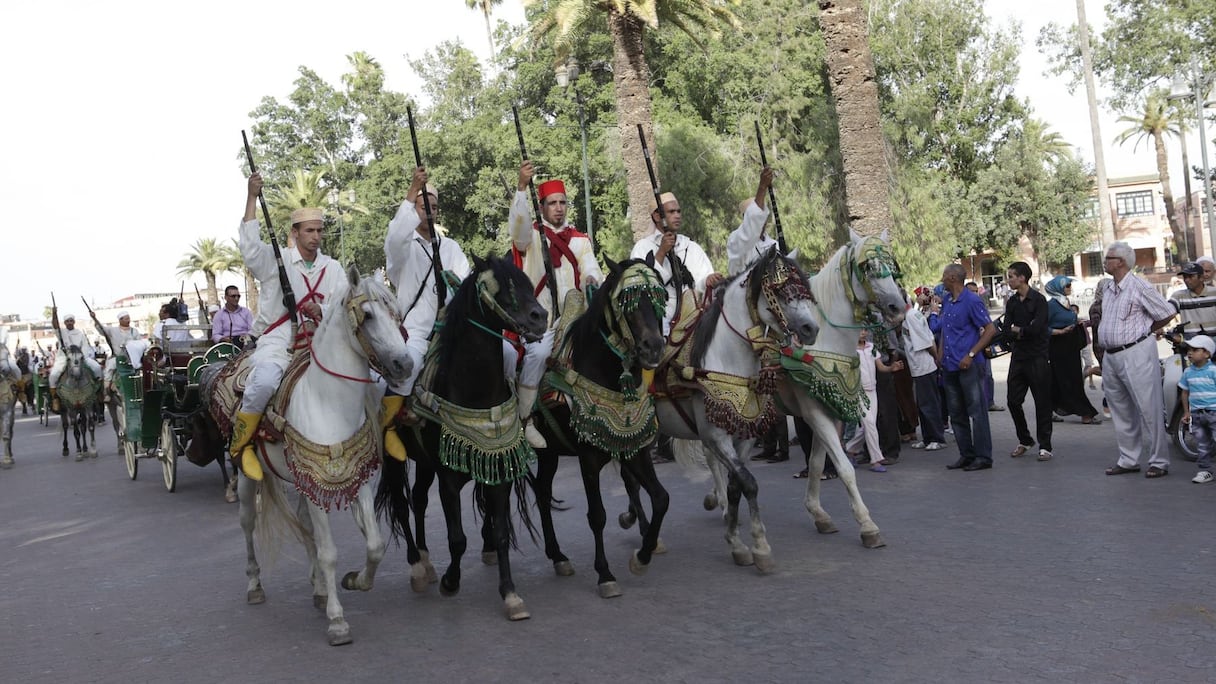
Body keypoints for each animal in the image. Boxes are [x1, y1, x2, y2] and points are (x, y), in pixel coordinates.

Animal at [209, 267, 413, 642]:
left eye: (396, 313)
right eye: (368, 316)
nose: (404, 364)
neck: (328, 400)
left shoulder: (354, 478)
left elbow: (374, 544)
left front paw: (355, 581)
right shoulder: (320, 485)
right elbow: (329, 550)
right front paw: (337, 620)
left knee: (304, 525)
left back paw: (317, 588)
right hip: (246, 476)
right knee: (248, 522)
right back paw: (255, 584)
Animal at [376, 254, 549, 618]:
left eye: (527, 283)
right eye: (500, 287)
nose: (540, 317)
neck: (475, 390)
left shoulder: (497, 471)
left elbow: (500, 533)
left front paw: (510, 593)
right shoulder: (449, 478)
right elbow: (457, 539)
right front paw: (450, 581)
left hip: (425, 463)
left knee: (418, 499)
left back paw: (426, 559)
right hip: (395, 460)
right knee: (401, 505)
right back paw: (417, 566)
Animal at [656, 244, 817, 569]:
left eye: (805, 288)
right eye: (780, 290)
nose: (812, 328)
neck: (727, 359)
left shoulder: (743, 434)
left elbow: (736, 484)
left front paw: (737, 541)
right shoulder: (717, 434)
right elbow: (748, 483)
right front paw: (760, 545)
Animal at [778, 231, 904, 545]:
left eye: (891, 265)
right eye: (868, 268)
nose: (898, 307)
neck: (824, 336)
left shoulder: (828, 408)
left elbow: (817, 464)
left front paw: (818, 513)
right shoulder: (814, 411)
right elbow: (845, 468)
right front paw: (868, 526)